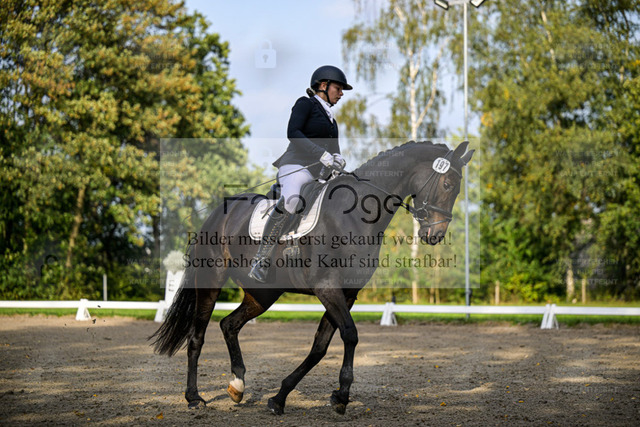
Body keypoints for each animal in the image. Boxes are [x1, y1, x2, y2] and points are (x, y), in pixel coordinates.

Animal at [150, 140, 474, 415]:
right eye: (447, 184)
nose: (435, 235)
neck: (355, 214)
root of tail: (218, 213)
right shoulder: (327, 287)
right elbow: (349, 335)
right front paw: (341, 396)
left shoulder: (345, 294)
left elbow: (320, 346)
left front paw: (280, 397)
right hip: (212, 279)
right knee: (197, 336)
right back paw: (194, 398)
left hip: (264, 294)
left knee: (229, 325)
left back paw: (237, 386)